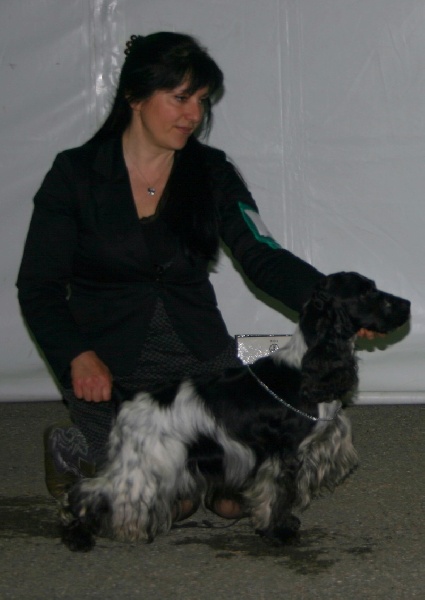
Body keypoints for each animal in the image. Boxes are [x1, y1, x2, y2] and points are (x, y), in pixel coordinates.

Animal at [60, 271, 410, 551]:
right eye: (366, 293)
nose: (407, 304)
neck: (306, 369)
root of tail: (128, 397)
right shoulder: (283, 455)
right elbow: (278, 496)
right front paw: (280, 533)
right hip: (144, 465)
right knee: (91, 491)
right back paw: (78, 536)